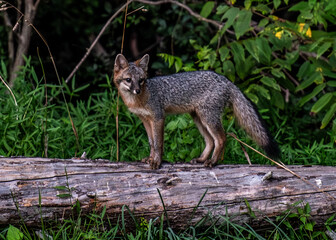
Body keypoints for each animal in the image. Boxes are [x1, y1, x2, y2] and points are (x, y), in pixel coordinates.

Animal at [114, 53, 280, 170]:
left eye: (141, 80)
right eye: (128, 80)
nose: (137, 90)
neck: (140, 98)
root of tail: (226, 80)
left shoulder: (158, 118)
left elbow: (158, 143)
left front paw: (157, 161)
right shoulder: (145, 120)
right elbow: (151, 142)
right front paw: (150, 158)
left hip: (208, 118)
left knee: (221, 138)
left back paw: (212, 161)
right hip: (198, 118)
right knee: (210, 141)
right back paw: (202, 159)